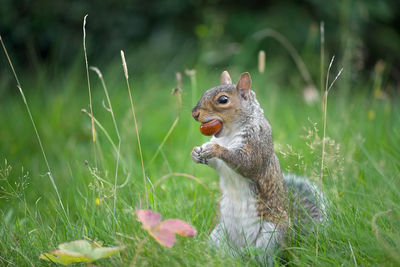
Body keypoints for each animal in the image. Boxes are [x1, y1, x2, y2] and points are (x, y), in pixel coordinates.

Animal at [191, 70, 324, 264]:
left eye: (223, 100)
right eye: (205, 91)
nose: (194, 113)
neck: (228, 133)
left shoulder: (257, 143)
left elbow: (247, 163)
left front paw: (215, 149)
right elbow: (216, 163)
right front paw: (196, 153)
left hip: (271, 236)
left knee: (264, 258)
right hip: (219, 235)